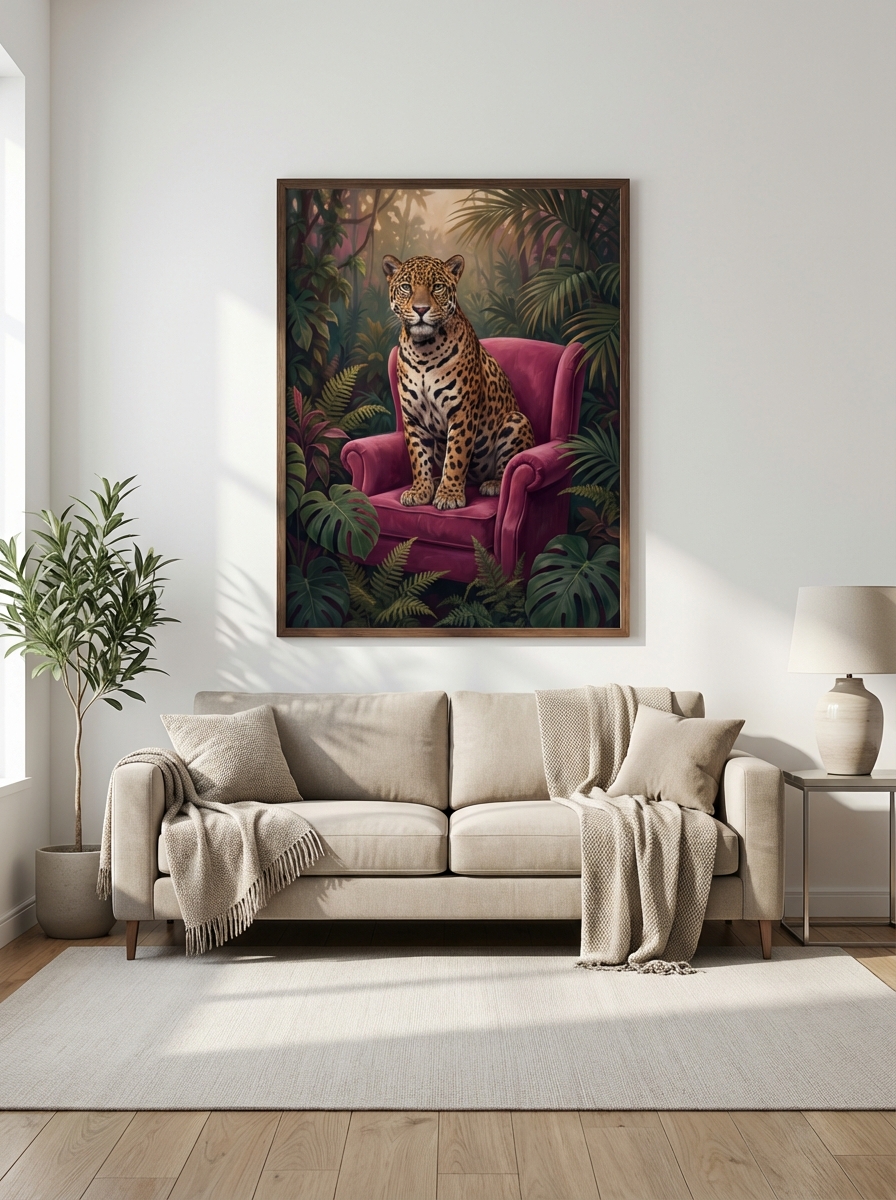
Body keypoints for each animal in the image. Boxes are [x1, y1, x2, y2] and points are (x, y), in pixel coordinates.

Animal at [382, 252, 534, 510]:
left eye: (437, 287)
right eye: (406, 287)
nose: (421, 309)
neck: (423, 349)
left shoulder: (462, 411)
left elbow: (456, 456)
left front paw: (449, 495)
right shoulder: (412, 417)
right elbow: (418, 457)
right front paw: (420, 491)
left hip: (516, 420)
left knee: (507, 469)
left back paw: (493, 484)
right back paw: (435, 481)